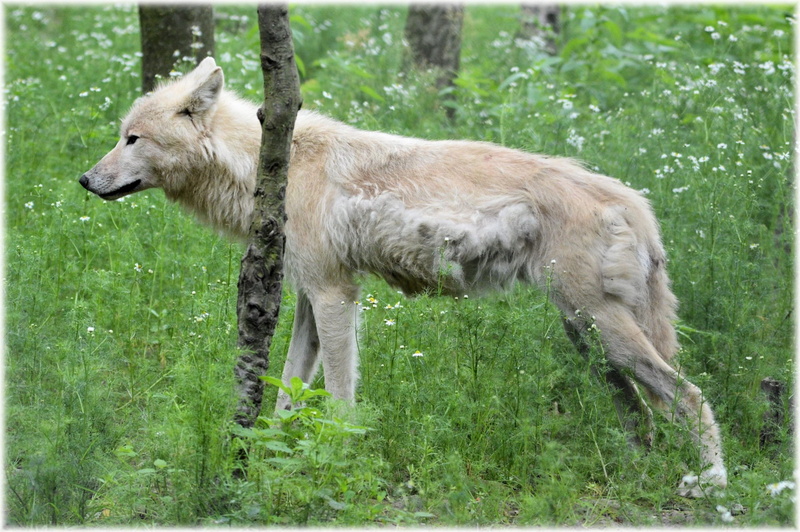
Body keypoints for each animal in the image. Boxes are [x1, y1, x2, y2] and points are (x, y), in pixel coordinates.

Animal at [80, 57, 727, 496]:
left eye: (132, 139)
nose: (85, 179)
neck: (274, 168)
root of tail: (634, 200)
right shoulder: (312, 300)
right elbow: (288, 395)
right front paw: (273, 460)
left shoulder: (336, 296)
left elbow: (340, 402)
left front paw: (334, 466)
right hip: (587, 337)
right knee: (641, 414)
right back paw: (636, 474)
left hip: (602, 330)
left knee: (690, 396)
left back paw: (712, 484)